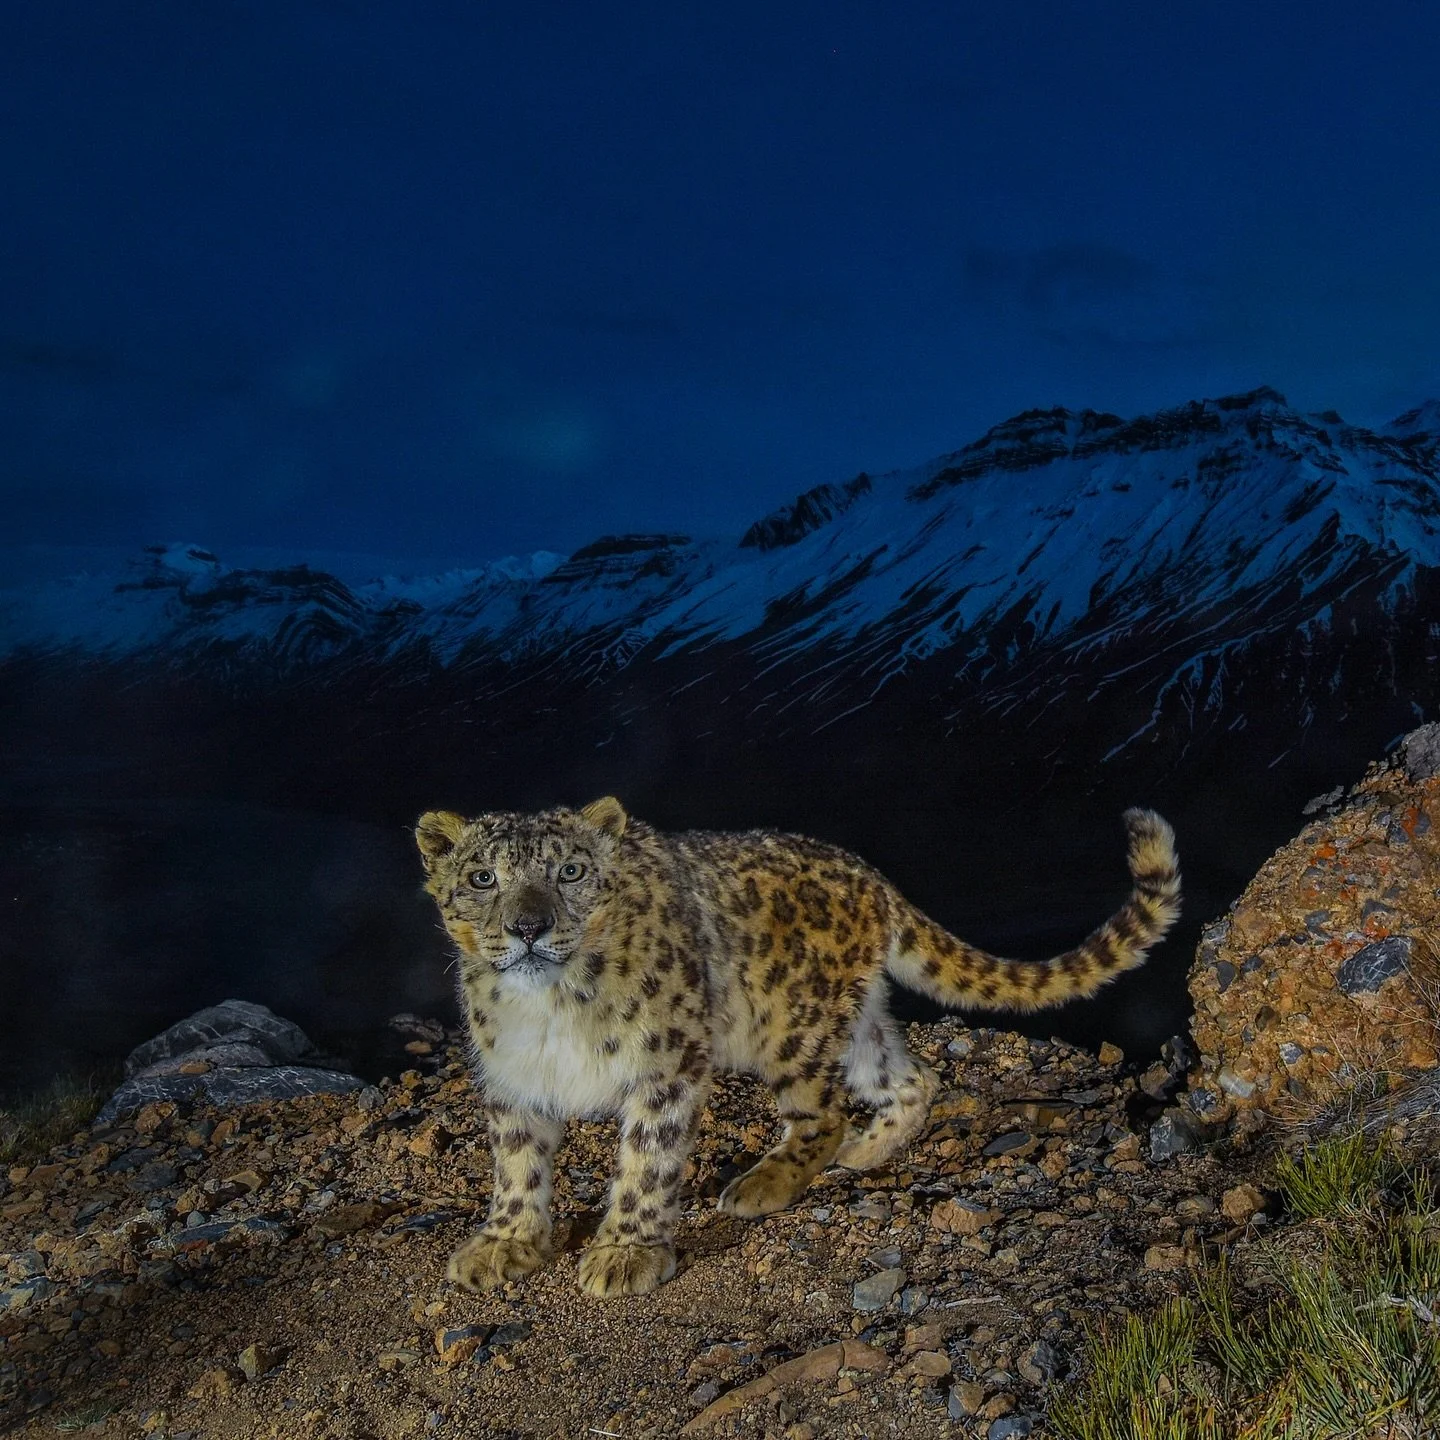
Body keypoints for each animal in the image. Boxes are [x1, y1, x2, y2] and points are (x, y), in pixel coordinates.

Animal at [416, 796, 1179, 1298]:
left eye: (570, 872)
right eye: (483, 878)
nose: (529, 927)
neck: (546, 1009)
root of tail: (868, 874)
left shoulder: (666, 1065)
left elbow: (648, 1160)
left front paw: (625, 1252)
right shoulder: (512, 1078)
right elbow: (517, 1164)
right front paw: (507, 1242)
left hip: (790, 1026)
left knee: (824, 1111)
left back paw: (765, 1183)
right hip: (858, 1025)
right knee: (911, 1078)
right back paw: (865, 1152)